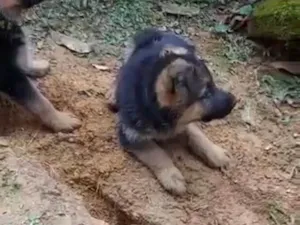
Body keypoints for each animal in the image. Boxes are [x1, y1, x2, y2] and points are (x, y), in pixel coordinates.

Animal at [106, 28, 237, 195]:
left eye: (214, 86)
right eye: (206, 94)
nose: (235, 100)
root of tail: (156, 31)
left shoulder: (185, 121)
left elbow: (197, 134)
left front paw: (215, 153)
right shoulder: (131, 135)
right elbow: (155, 152)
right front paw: (172, 176)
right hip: (130, 52)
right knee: (120, 70)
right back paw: (113, 94)